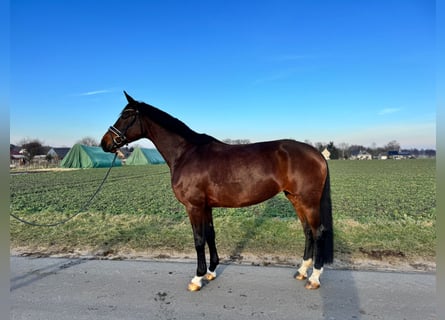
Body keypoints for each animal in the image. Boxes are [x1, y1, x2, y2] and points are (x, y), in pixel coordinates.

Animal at [99, 91, 330, 292]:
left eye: (126, 115)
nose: (104, 142)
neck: (186, 153)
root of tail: (317, 153)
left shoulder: (194, 206)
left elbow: (199, 239)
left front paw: (197, 278)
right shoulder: (206, 206)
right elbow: (210, 234)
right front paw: (210, 272)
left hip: (308, 201)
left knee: (318, 232)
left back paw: (314, 278)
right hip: (295, 198)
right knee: (307, 231)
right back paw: (302, 270)